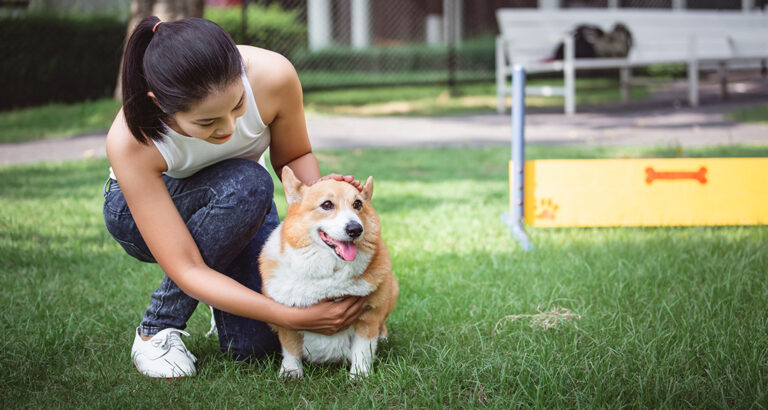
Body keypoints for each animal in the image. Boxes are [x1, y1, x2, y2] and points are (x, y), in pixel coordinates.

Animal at [260, 168, 400, 380]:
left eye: (357, 204)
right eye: (327, 205)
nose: (355, 229)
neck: (331, 273)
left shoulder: (369, 316)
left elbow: (362, 350)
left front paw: (359, 375)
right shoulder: (286, 318)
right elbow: (290, 348)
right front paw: (291, 372)